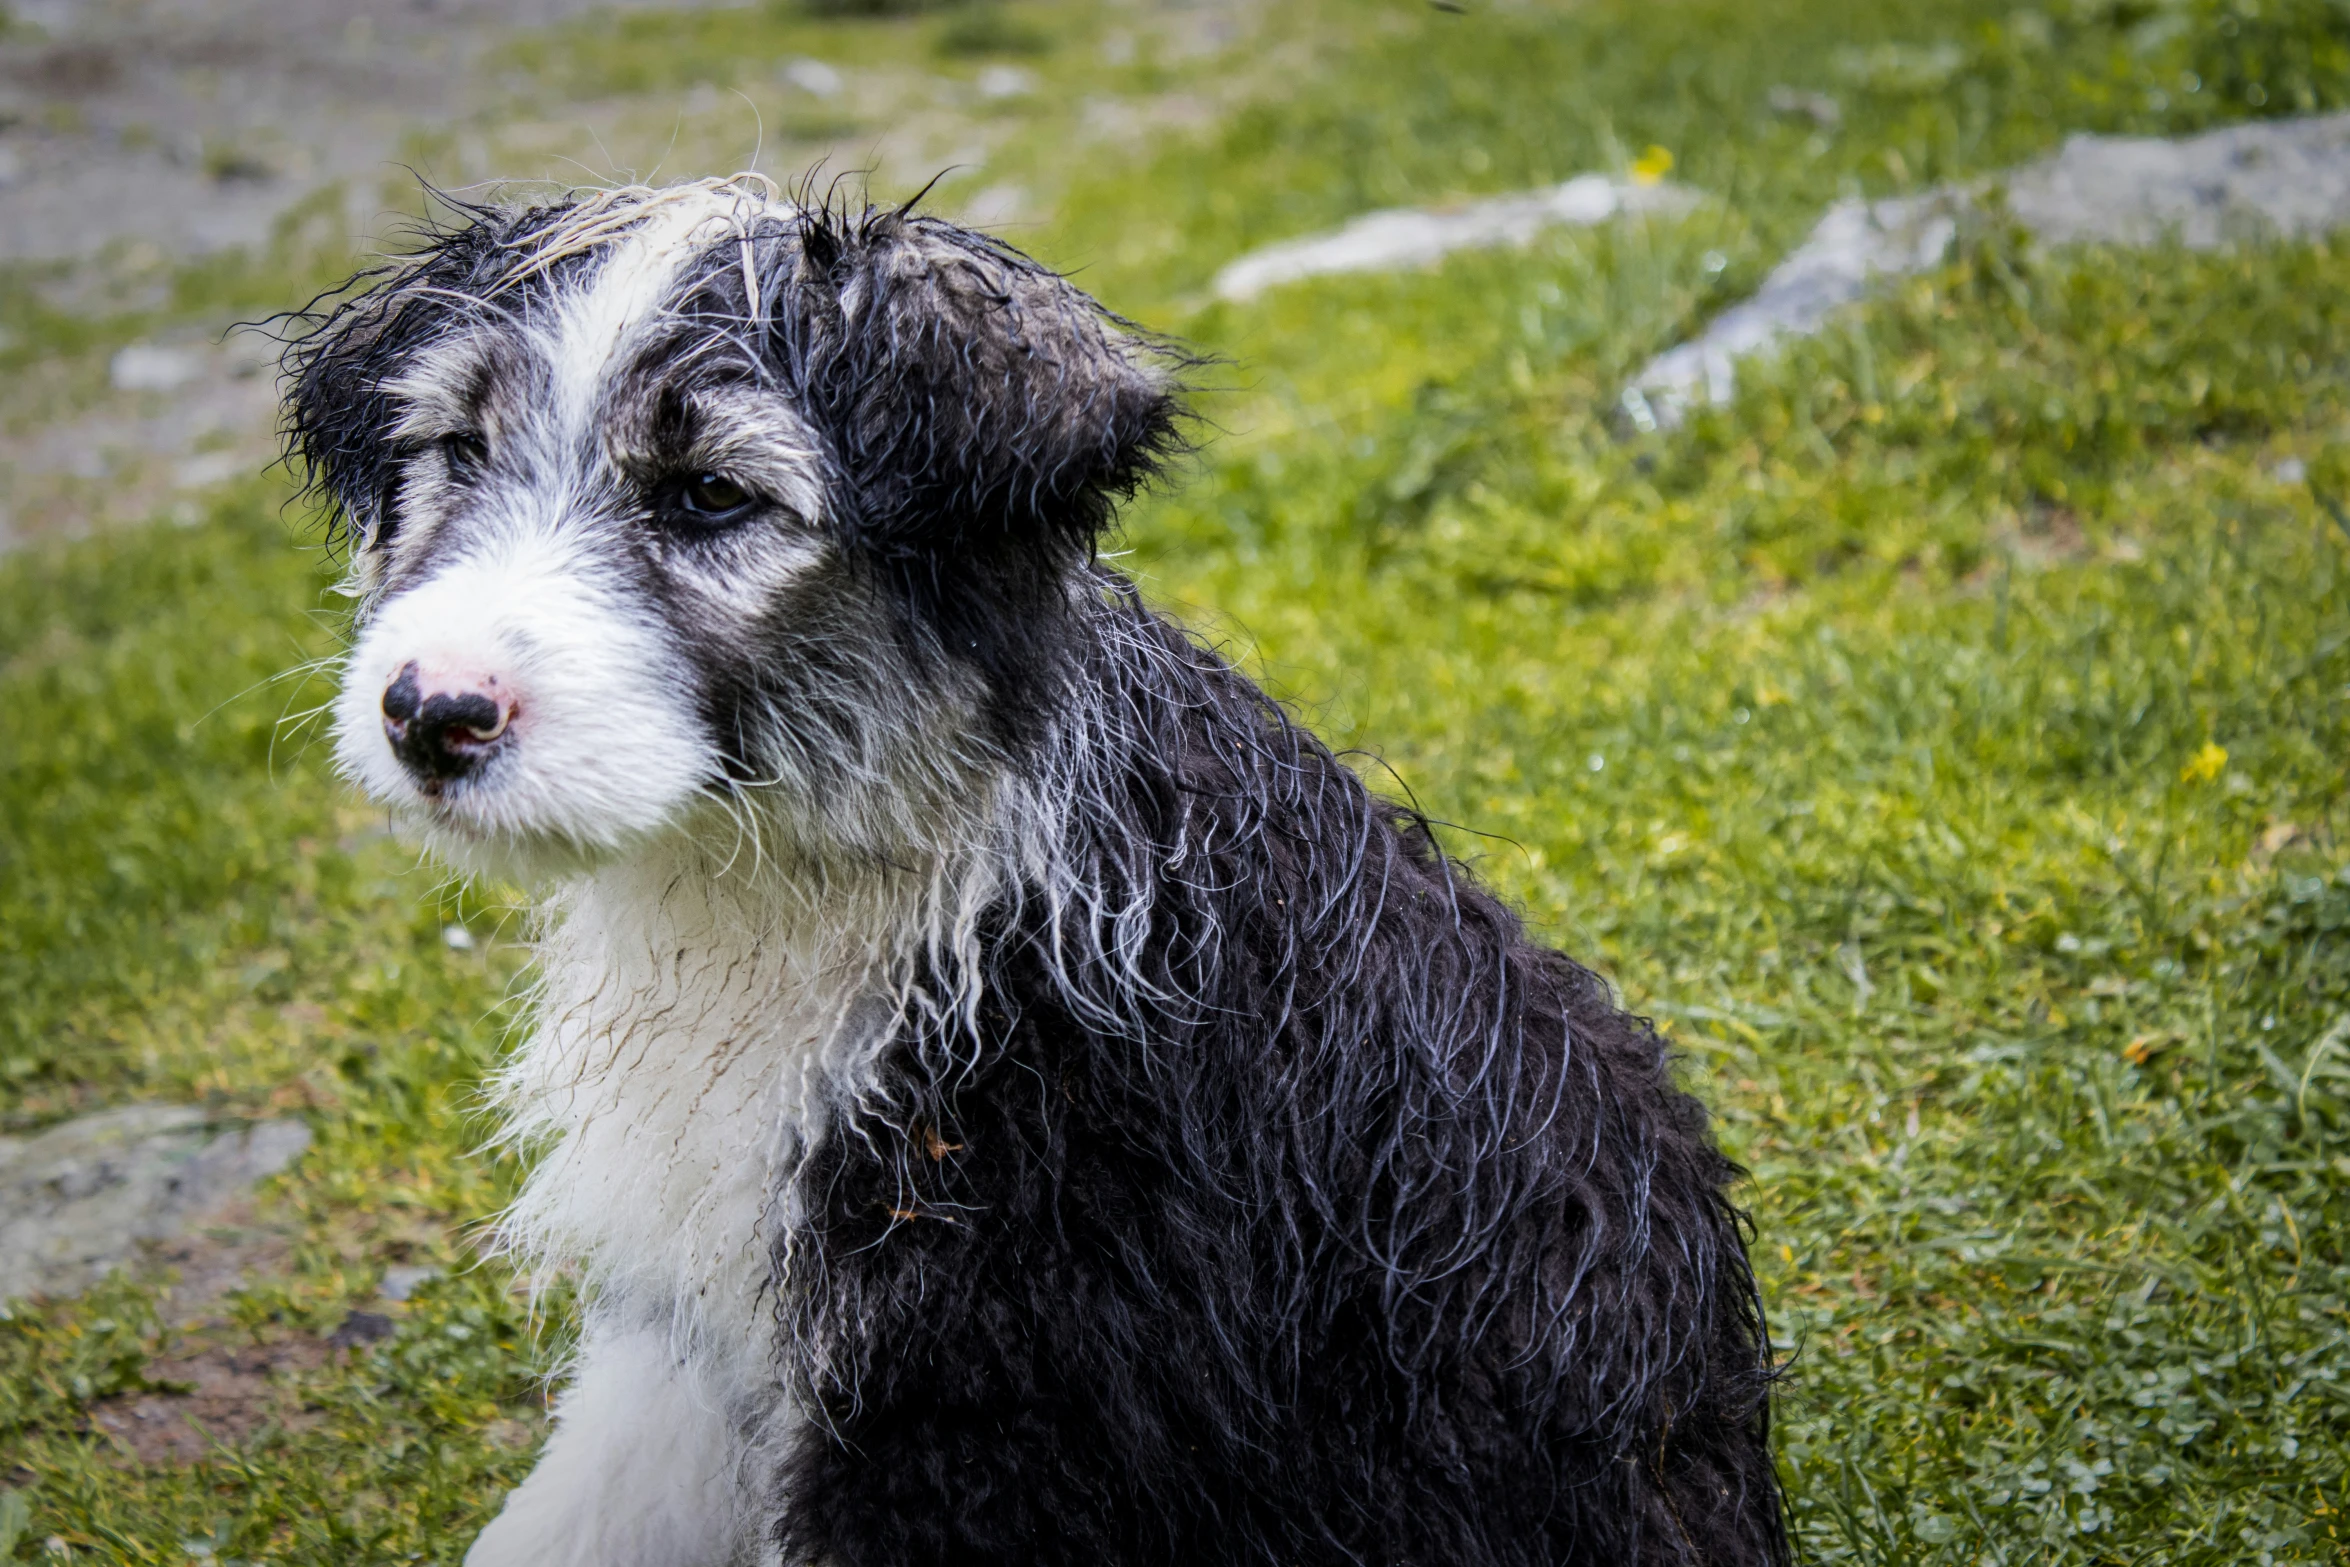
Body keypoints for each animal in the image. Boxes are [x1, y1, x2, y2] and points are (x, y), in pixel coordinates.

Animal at [279, 177, 1776, 1567]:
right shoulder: (701, 1329)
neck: (824, 878)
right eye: (458, 450)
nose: (430, 712)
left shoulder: (985, 1393)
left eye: (710, 496)